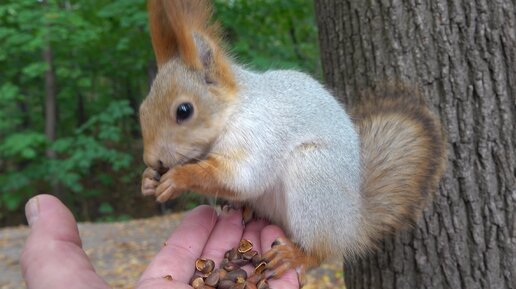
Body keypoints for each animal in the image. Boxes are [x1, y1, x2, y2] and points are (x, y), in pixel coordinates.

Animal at [140, 0, 448, 280]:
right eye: (142, 108)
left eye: (184, 110)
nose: (152, 159)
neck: (234, 110)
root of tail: (352, 223)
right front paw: (147, 179)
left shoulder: (262, 131)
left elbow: (244, 176)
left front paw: (178, 178)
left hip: (313, 177)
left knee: (321, 250)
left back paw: (294, 255)